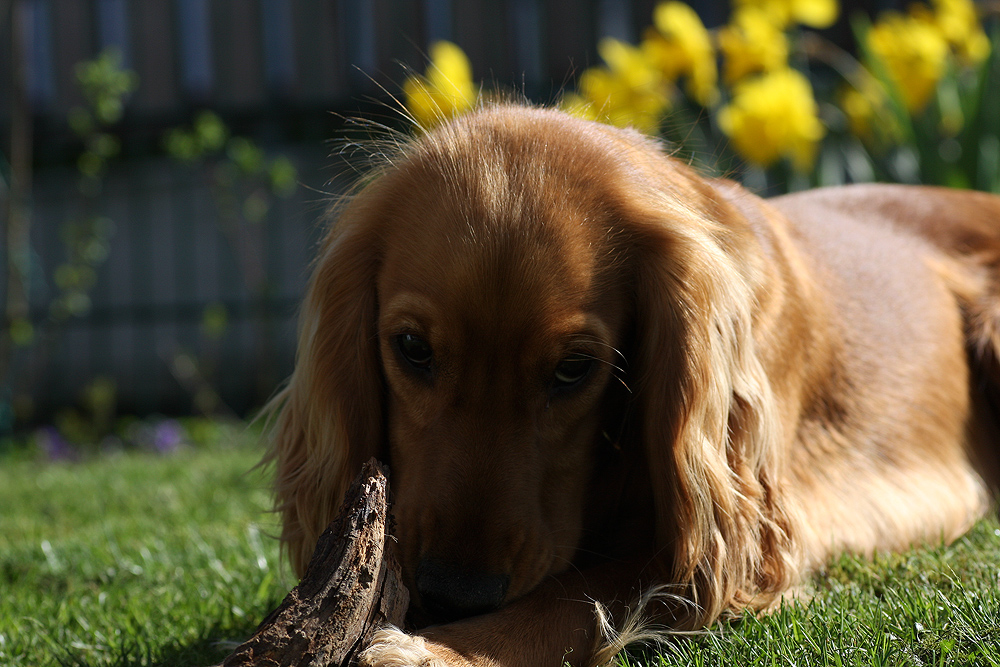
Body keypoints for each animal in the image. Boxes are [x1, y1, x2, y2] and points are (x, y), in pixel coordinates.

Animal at [266, 105, 1000, 667]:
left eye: (574, 368)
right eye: (413, 349)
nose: (454, 592)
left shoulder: (728, 543)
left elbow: (577, 595)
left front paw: (441, 651)